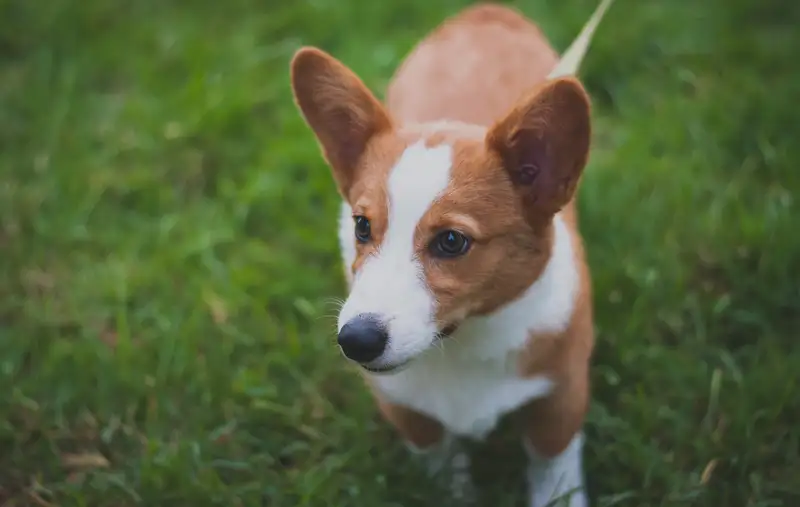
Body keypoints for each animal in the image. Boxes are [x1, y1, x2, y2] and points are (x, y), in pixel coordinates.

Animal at [292, 1, 612, 506]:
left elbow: (554, 471)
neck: (461, 342)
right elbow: (444, 467)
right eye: (362, 226)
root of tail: (483, 13)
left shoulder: (561, 396)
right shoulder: (405, 408)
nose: (355, 341)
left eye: (451, 241)